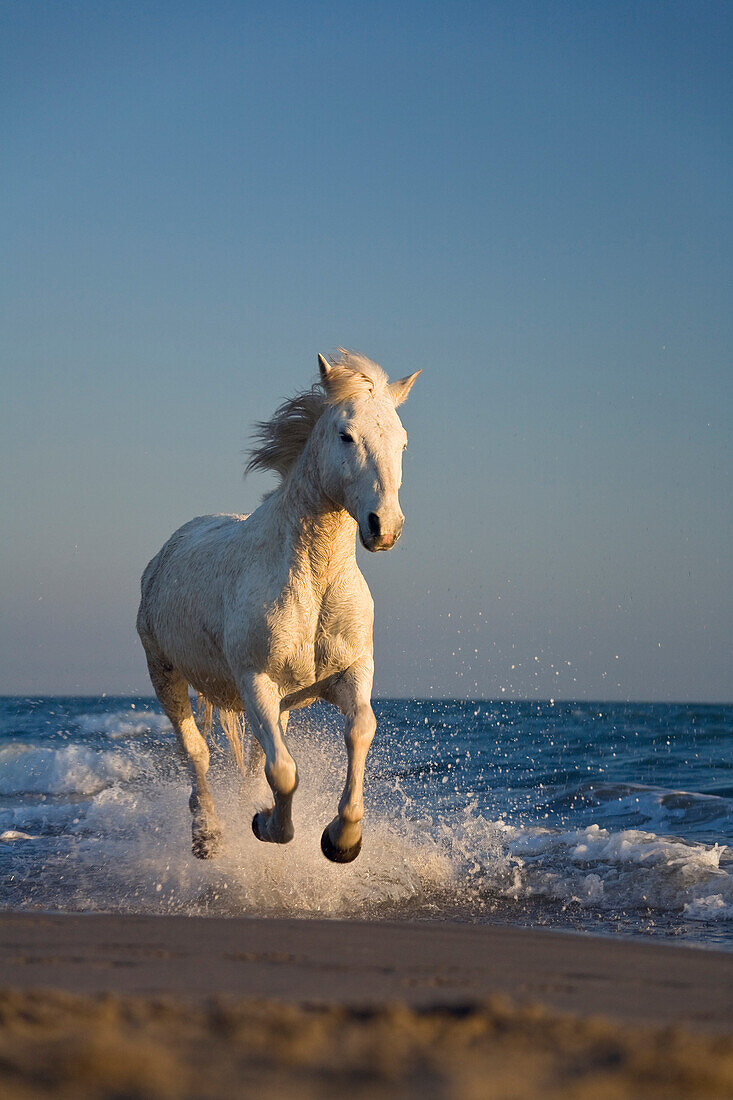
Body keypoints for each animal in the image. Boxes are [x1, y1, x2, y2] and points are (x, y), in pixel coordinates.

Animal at [135, 347, 416, 862]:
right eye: (346, 435)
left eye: (402, 443)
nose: (384, 526)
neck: (314, 580)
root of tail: (167, 550)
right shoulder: (256, 683)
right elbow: (283, 771)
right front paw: (267, 826)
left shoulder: (350, 673)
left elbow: (359, 730)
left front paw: (342, 839)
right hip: (164, 673)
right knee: (196, 753)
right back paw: (208, 835)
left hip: (278, 703)